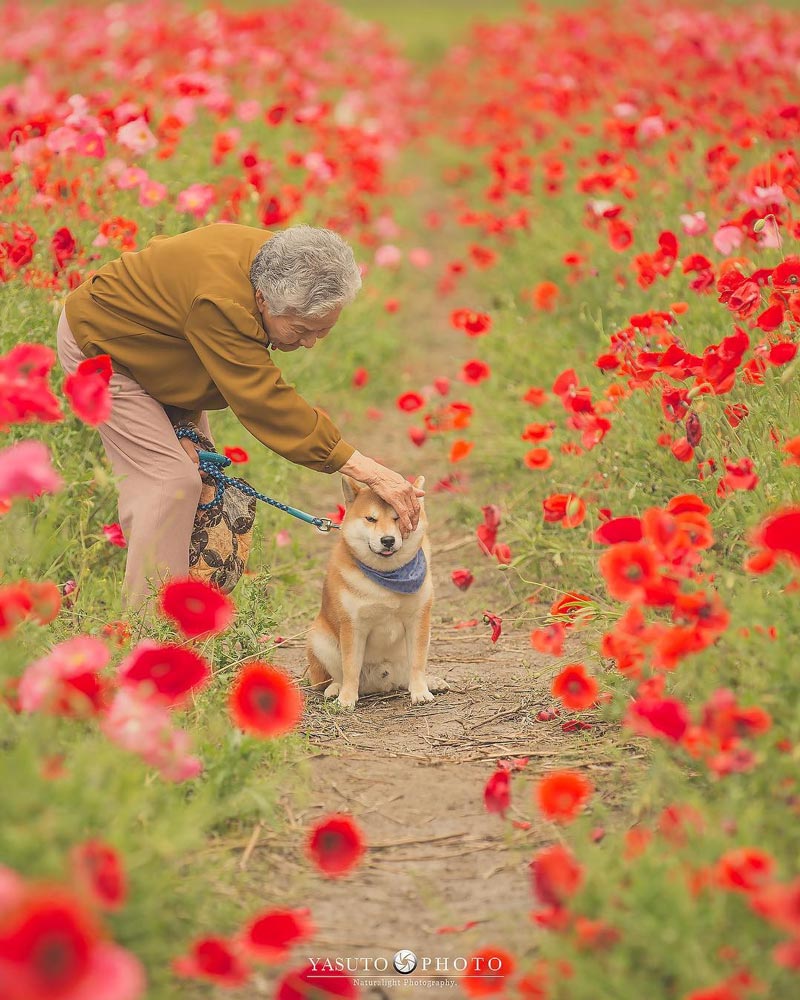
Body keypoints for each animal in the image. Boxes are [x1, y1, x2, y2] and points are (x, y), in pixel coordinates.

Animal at [304, 472, 446, 708]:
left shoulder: (418, 619)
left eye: (398, 518)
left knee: (407, 675)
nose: (387, 540)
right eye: (371, 519)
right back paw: (336, 689)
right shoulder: (353, 625)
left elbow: (417, 663)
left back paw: (431, 682)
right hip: (319, 639)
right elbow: (350, 667)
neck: (387, 576)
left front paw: (420, 692)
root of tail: (380, 684)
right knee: (336, 676)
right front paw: (347, 699)